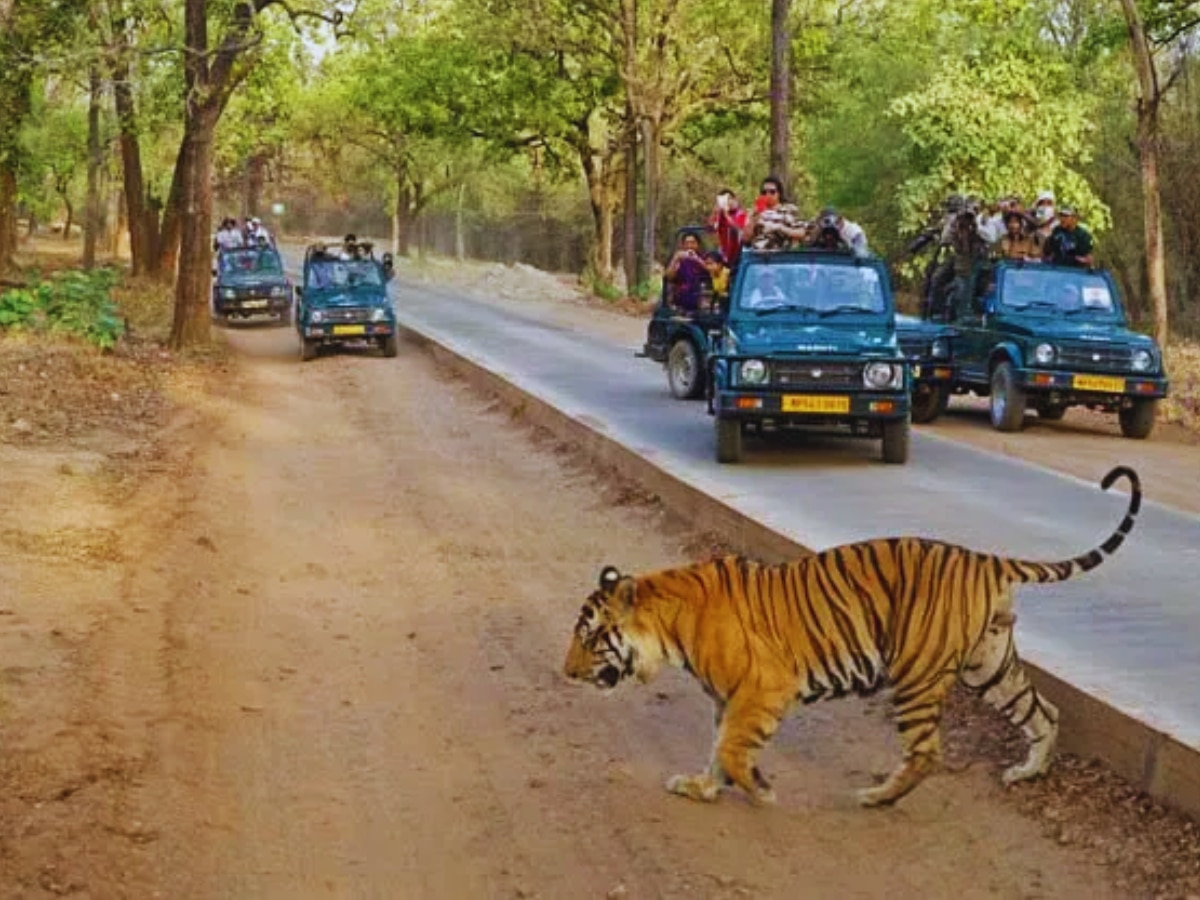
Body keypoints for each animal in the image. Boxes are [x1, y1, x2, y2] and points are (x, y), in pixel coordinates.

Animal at [561, 468, 1142, 806]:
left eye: (590, 637)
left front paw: (759, 790)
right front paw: (702, 787)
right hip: (989, 665)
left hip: (916, 673)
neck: (668, 626)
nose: (566, 672)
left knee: (928, 752)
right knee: (1045, 711)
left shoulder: (763, 688)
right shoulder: (729, 698)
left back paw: (878, 797)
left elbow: (730, 747)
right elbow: (717, 747)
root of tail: (984, 558)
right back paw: (1027, 772)